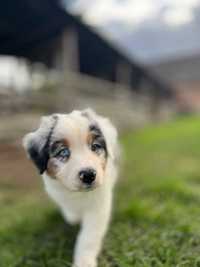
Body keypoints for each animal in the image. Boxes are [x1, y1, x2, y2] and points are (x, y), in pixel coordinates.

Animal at [22, 109, 119, 267]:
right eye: (63, 152)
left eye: (95, 146)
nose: (88, 175)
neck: (79, 194)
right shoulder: (58, 193)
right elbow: (69, 211)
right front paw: (73, 217)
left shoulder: (99, 206)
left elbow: (88, 237)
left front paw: (84, 262)